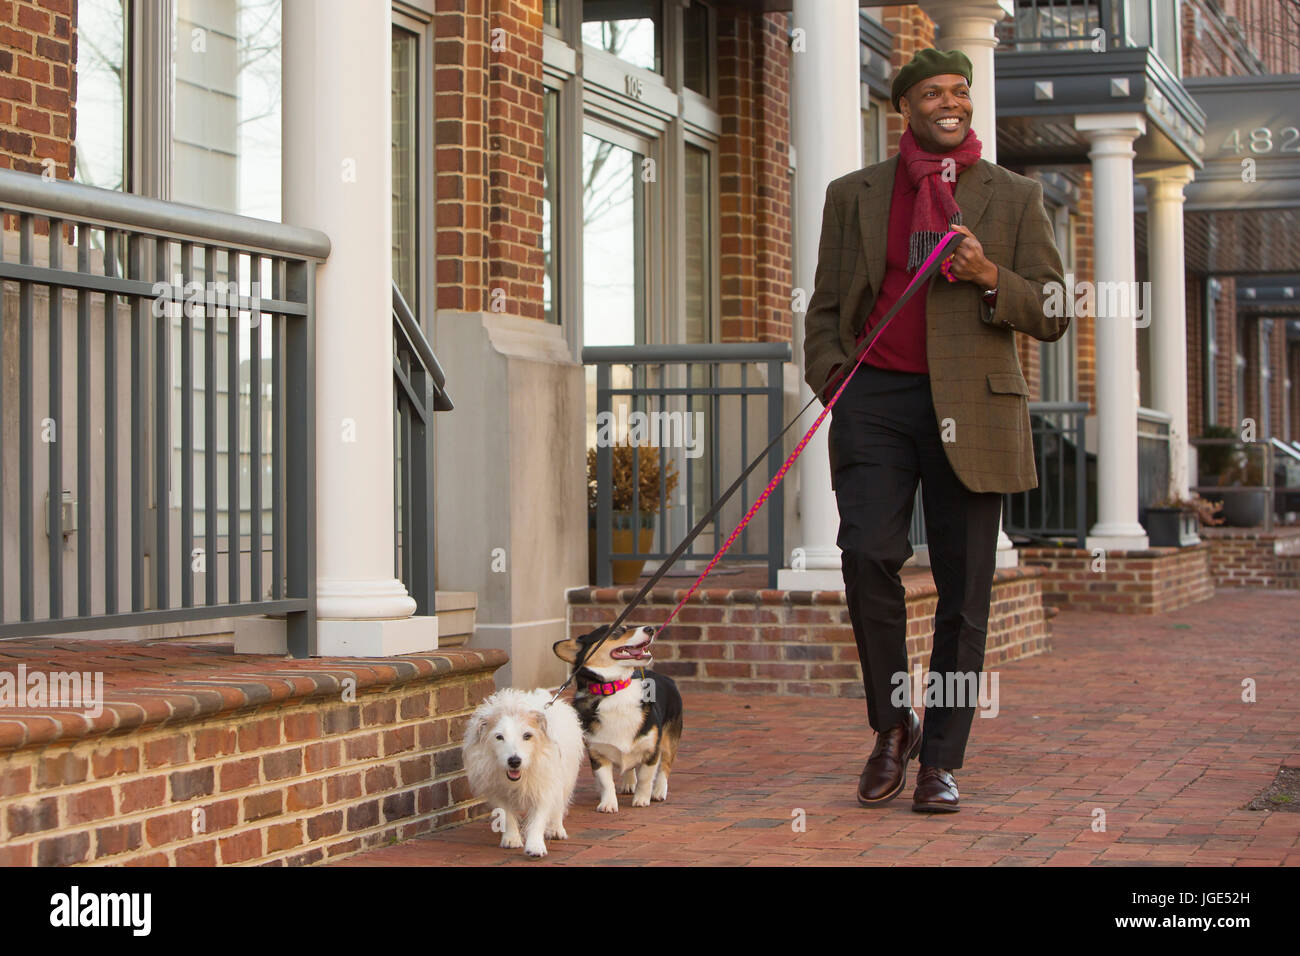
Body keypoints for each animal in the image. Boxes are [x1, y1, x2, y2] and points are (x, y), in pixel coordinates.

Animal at [457, 686, 579, 858]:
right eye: (499, 737)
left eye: (527, 736)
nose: (514, 761)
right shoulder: (498, 792)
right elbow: (507, 814)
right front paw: (511, 838)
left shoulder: (544, 787)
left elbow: (538, 818)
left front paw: (535, 845)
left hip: (565, 779)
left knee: (559, 805)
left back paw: (555, 828)